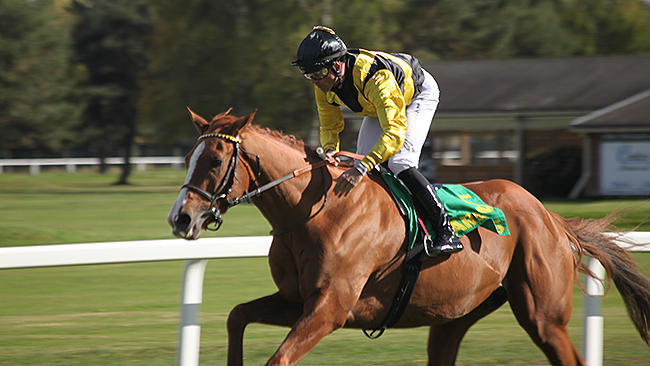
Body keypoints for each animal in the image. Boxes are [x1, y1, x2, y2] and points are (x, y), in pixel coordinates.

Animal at [167, 109, 648, 366]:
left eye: (214, 159)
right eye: (189, 155)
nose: (180, 219)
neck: (313, 212)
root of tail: (552, 218)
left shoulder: (330, 308)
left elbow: (280, 356)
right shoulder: (296, 300)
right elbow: (237, 316)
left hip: (543, 315)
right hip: (455, 316)